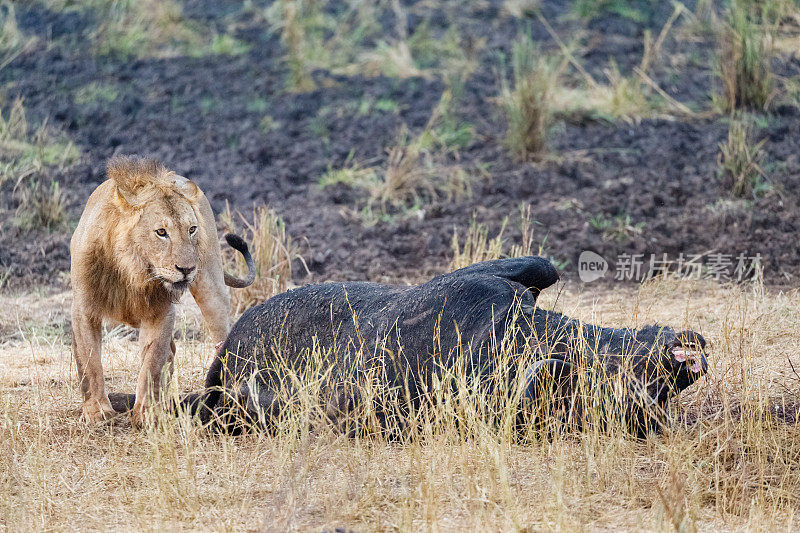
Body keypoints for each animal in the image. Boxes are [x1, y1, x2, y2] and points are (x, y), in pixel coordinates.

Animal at [71, 154, 255, 424]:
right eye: (161, 232)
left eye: (191, 229)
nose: (187, 269)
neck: (133, 270)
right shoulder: (84, 309)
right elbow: (89, 361)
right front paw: (97, 412)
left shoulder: (160, 312)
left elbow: (152, 363)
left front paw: (147, 413)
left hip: (211, 287)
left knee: (219, 341)